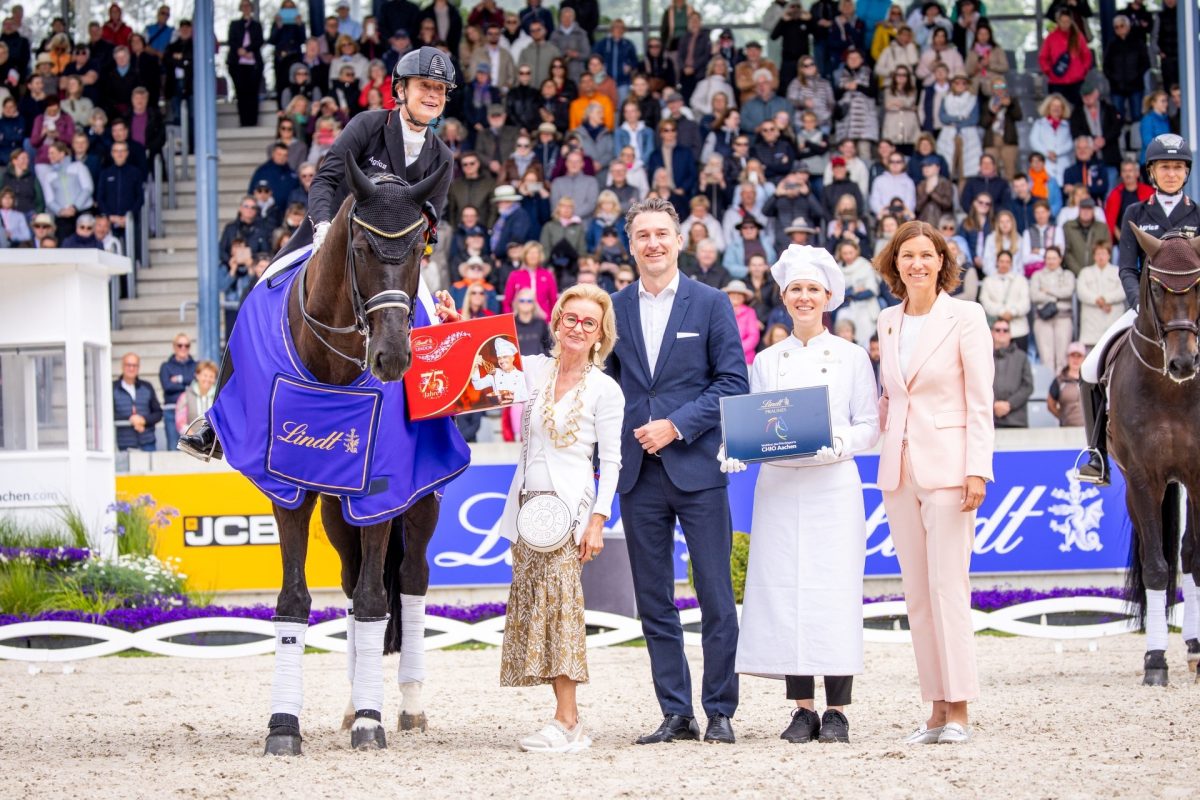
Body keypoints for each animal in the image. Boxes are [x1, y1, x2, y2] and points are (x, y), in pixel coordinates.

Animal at [252, 157, 452, 754]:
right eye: (360, 247)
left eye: (418, 250)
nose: (392, 358)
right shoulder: (289, 490)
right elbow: (294, 601)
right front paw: (283, 726)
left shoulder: (383, 493)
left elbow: (373, 599)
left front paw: (371, 720)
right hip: (336, 514)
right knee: (348, 578)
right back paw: (349, 703)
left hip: (421, 503)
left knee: (409, 580)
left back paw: (407, 705)